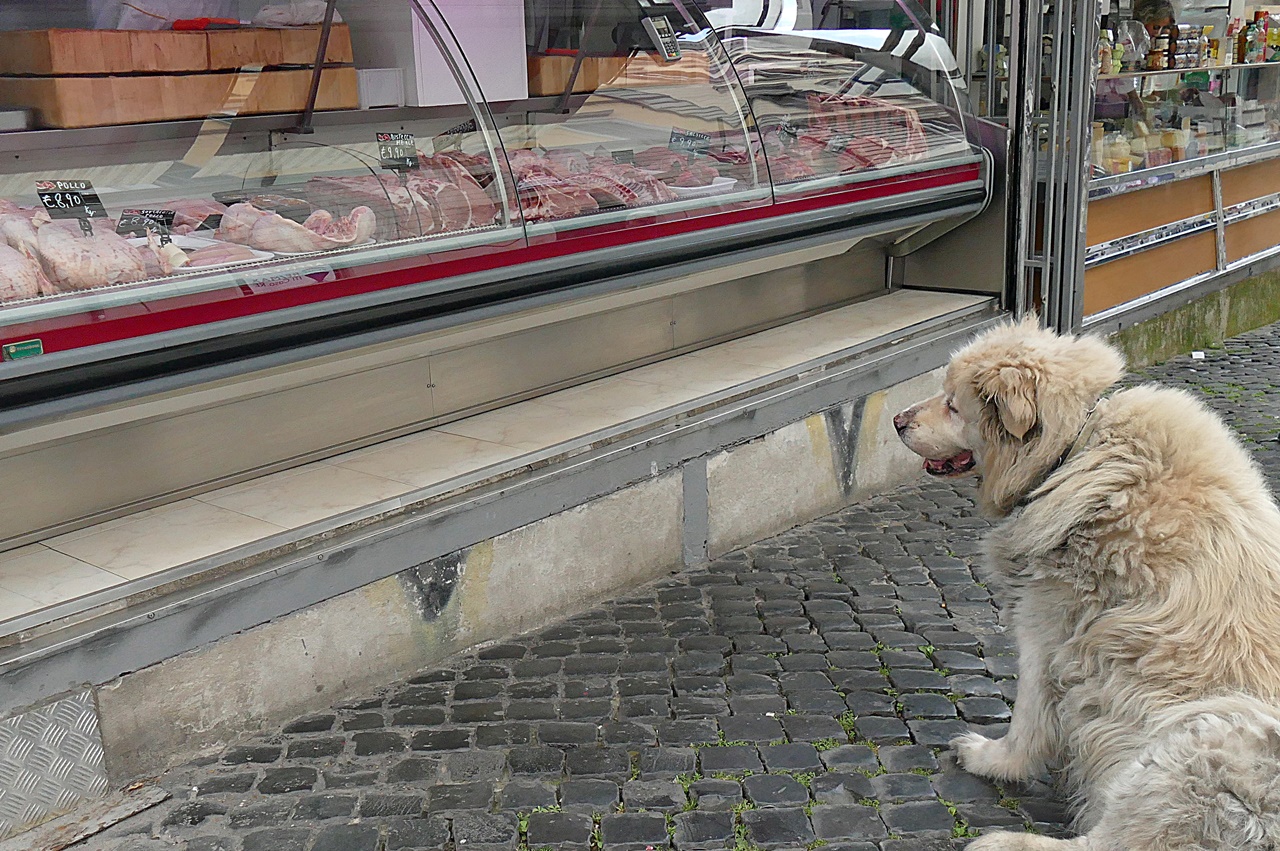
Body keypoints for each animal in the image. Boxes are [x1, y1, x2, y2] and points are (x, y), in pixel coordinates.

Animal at [896, 318, 1280, 849]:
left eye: (954, 404)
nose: (896, 420)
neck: (1075, 448)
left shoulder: (1047, 629)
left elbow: (1028, 719)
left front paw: (994, 759)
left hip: (1204, 734)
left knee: (1108, 842)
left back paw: (1000, 840)